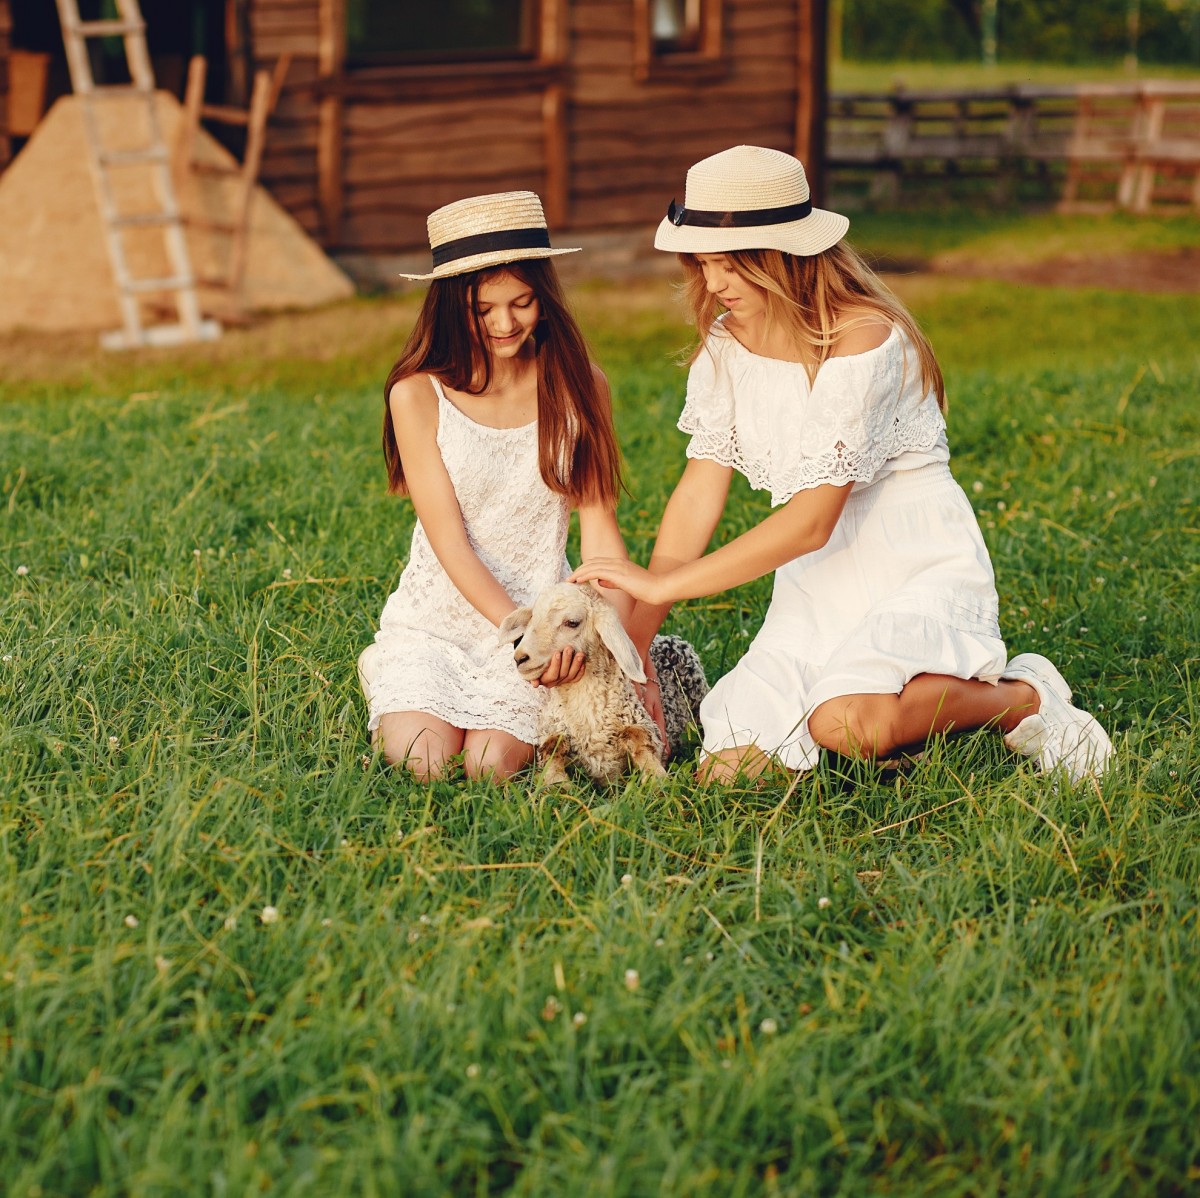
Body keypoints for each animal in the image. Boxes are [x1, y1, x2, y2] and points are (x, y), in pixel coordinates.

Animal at [494, 583, 700, 787]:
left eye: (572, 622)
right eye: (533, 618)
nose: (520, 658)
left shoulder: (646, 726)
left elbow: (637, 736)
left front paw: (655, 777)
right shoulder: (552, 730)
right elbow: (551, 747)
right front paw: (557, 782)